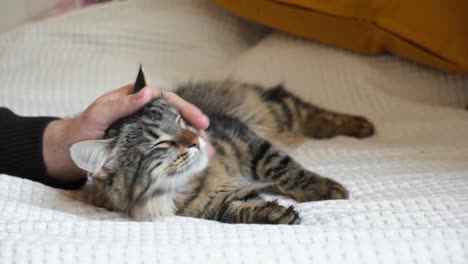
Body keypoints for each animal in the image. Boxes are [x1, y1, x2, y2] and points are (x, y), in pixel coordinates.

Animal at [69, 67, 374, 224]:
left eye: (181, 120)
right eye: (162, 144)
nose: (196, 140)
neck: (196, 181)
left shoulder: (250, 141)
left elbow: (286, 171)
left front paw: (326, 190)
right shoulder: (217, 204)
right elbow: (241, 209)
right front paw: (277, 214)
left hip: (280, 110)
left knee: (317, 113)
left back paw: (363, 126)